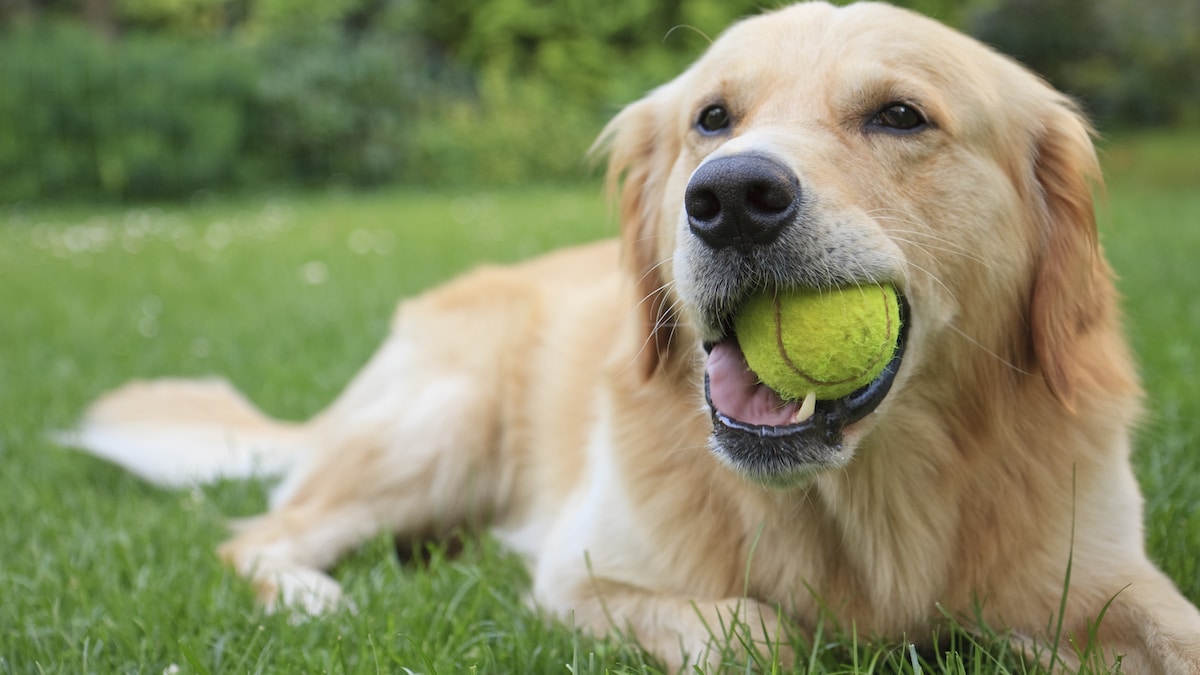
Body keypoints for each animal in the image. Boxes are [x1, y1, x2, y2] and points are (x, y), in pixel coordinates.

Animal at [68, 2, 1200, 667]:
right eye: (712, 118)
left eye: (899, 115)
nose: (730, 198)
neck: (869, 495)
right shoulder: (582, 576)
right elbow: (753, 633)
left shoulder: (1101, 574)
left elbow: (1176, 628)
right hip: (440, 426)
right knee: (259, 535)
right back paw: (312, 599)